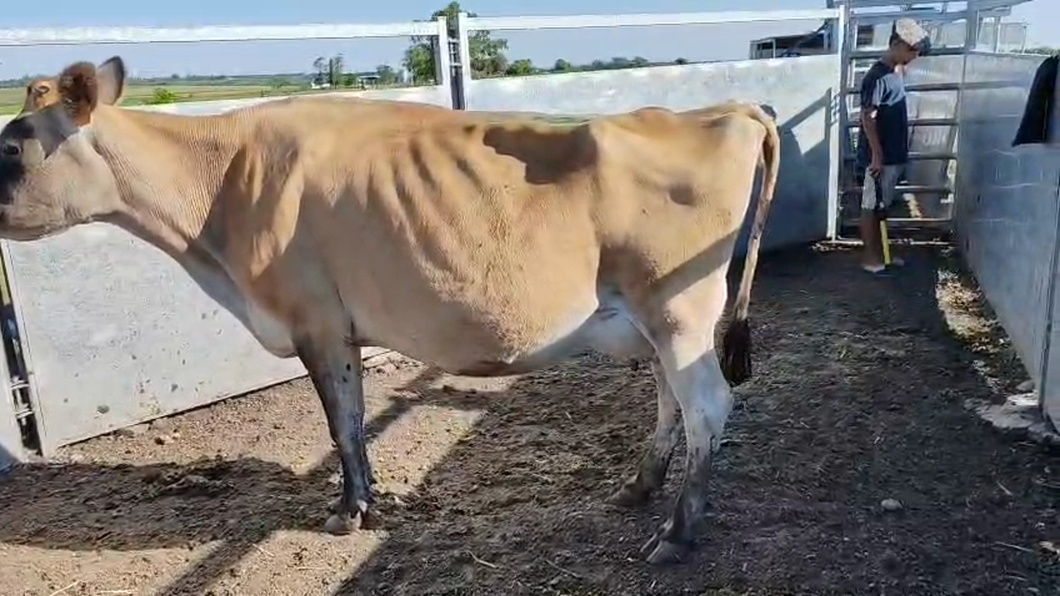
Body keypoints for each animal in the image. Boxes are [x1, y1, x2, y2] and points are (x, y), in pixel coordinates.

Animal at [0, 56, 779, 564]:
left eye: (13, 144)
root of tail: (728, 110)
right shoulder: (336, 329)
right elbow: (349, 421)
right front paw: (365, 498)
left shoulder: (313, 319)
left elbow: (341, 424)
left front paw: (347, 512)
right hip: (655, 318)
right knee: (670, 399)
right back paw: (639, 487)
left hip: (678, 306)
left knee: (707, 404)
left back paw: (678, 532)